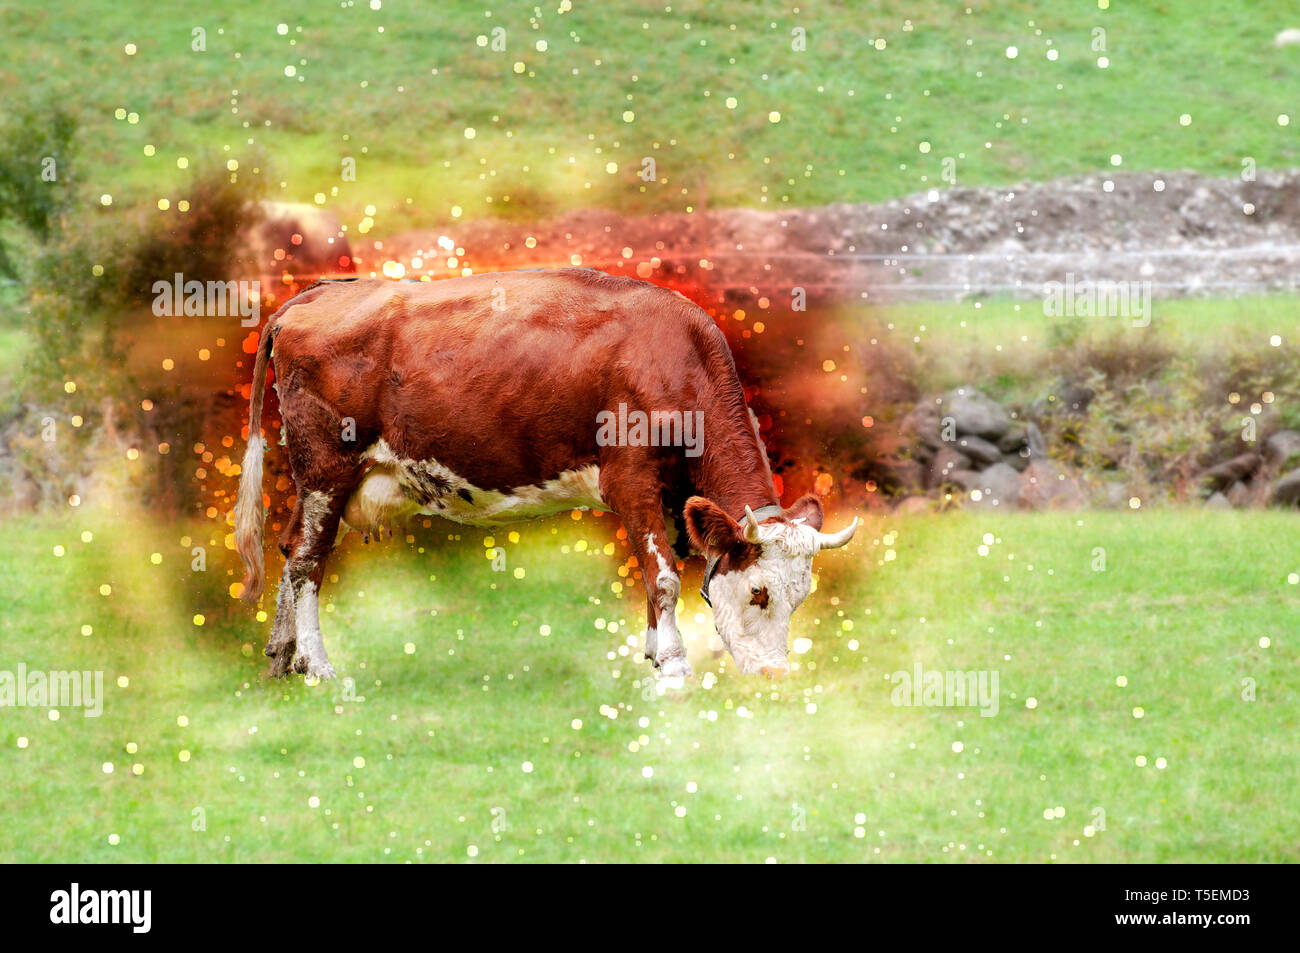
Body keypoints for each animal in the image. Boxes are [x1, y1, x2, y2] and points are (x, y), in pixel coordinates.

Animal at [233, 269, 857, 686]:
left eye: (800, 596)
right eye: (758, 592)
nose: (776, 676)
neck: (676, 361)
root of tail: (316, 293)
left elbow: (652, 578)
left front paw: (653, 652)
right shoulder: (630, 479)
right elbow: (662, 578)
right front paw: (673, 667)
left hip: (333, 479)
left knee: (291, 546)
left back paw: (283, 655)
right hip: (326, 464)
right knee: (308, 561)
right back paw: (319, 665)